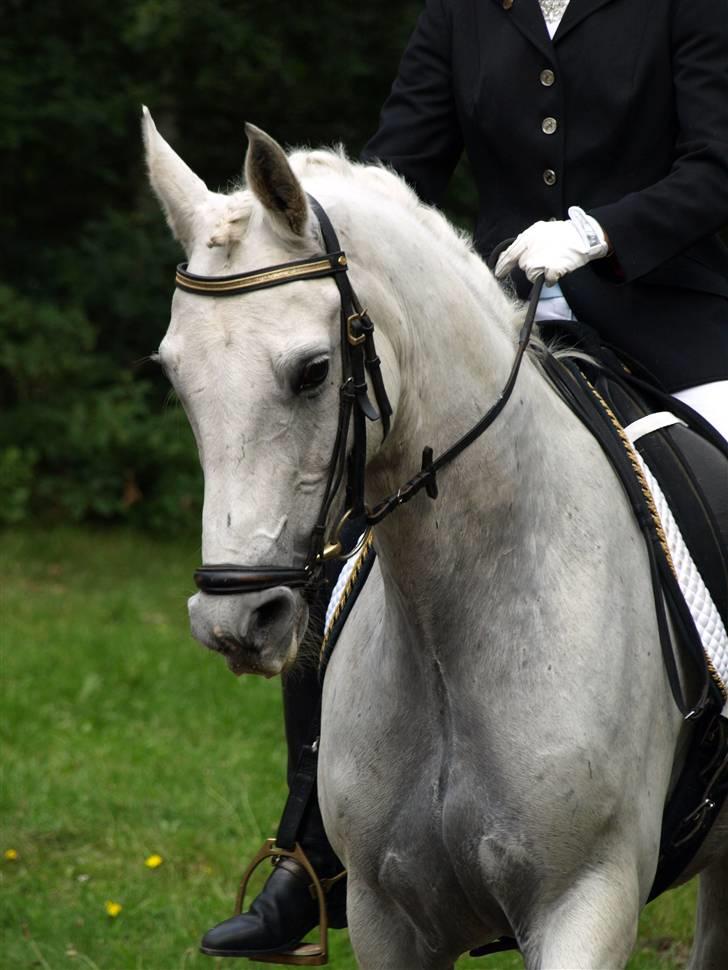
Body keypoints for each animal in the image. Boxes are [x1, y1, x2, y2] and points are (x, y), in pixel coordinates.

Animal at [144, 108, 728, 968]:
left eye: (312, 371)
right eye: (175, 376)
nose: (233, 622)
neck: (453, 628)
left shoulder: (586, 901)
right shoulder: (389, 917)